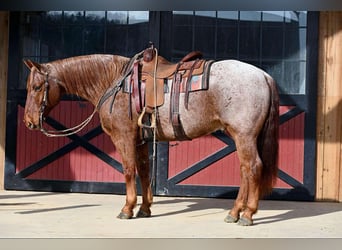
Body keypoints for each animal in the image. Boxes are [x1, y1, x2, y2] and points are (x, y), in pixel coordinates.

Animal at [22, 49, 278, 227]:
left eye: (36, 87)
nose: (29, 122)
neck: (113, 82)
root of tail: (263, 76)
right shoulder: (141, 140)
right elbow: (144, 171)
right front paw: (144, 208)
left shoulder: (123, 137)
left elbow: (128, 170)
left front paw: (127, 209)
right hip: (241, 137)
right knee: (245, 171)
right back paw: (235, 213)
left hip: (243, 135)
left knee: (253, 168)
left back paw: (246, 214)